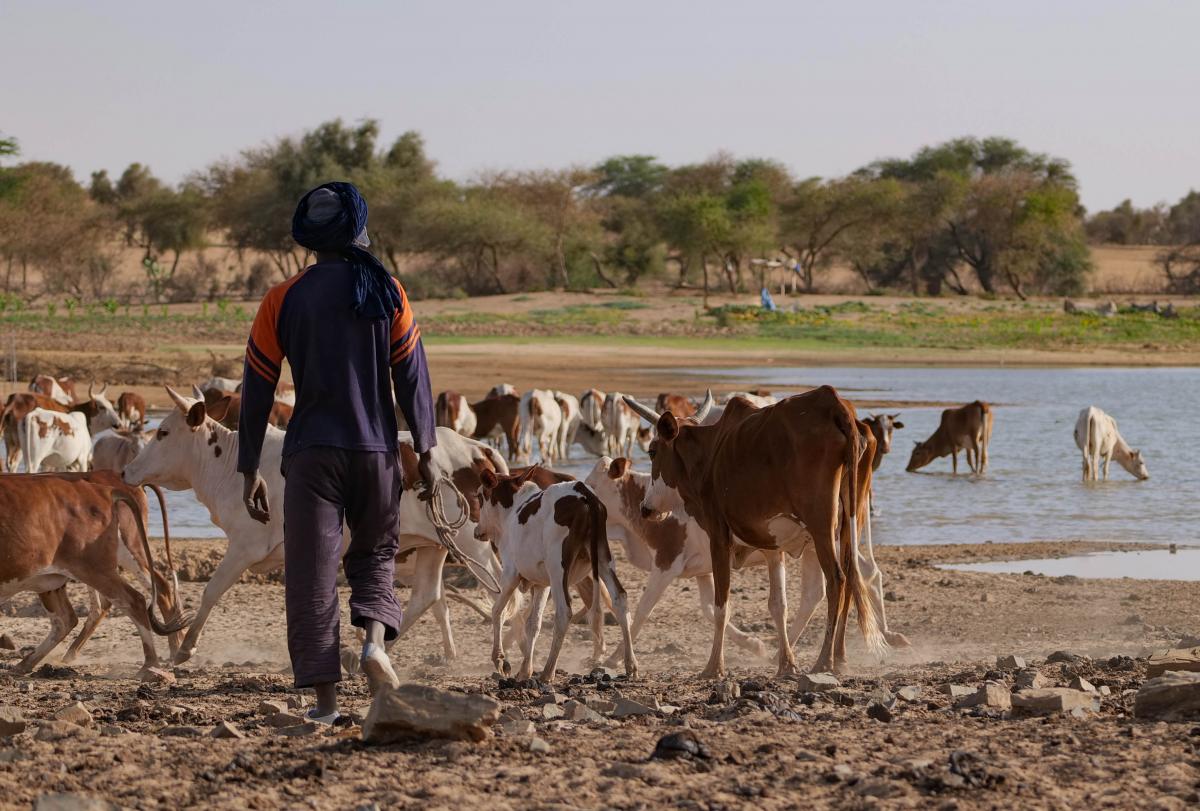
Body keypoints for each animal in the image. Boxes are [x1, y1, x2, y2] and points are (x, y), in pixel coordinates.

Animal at [0, 467, 189, 671]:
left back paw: (152, 663)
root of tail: (105, 489)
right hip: (54, 579)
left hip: (102, 564)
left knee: (134, 600)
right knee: (66, 619)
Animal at [124, 388, 508, 667]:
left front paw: (185, 648)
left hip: (473, 545)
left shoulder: (244, 547)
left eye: (162, 432)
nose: (128, 470)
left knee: (503, 591)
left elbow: (211, 591)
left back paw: (503, 658)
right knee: (428, 595)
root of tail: (476, 448)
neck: (230, 465)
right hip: (435, 545)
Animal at [475, 467, 638, 686]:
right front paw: (525, 669)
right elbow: (533, 623)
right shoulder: (542, 584)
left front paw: (500, 660)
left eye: (480, 496)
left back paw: (547, 672)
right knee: (619, 598)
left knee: (564, 611)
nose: (478, 531)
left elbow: (498, 611)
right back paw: (631, 665)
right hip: (603, 557)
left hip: (557, 566)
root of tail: (585, 496)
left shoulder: (510, 573)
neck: (512, 512)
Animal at [628, 388, 883, 676]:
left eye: (652, 451)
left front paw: (714, 666)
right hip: (849, 525)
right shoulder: (772, 546)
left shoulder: (718, 535)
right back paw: (839, 657)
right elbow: (778, 605)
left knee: (837, 579)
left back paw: (824, 660)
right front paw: (787, 663)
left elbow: (722, 605)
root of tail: (836, 405)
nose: (646, 508)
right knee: (851, 578)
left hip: (821, 526)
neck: (710, 455)